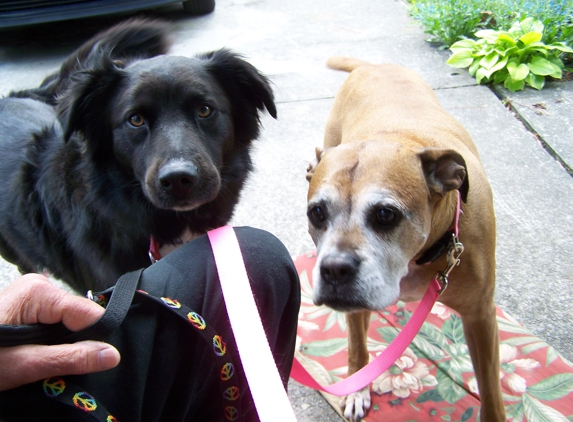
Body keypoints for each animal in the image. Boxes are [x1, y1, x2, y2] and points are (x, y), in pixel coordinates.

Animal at [306, 56, 502, 422]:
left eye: (386, 214)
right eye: (317, 213)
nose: (334, 269)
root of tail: (371, 64)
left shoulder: (481, 317)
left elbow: (491, 390)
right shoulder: (355, 309)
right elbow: (357, 348)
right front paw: (357, 388)